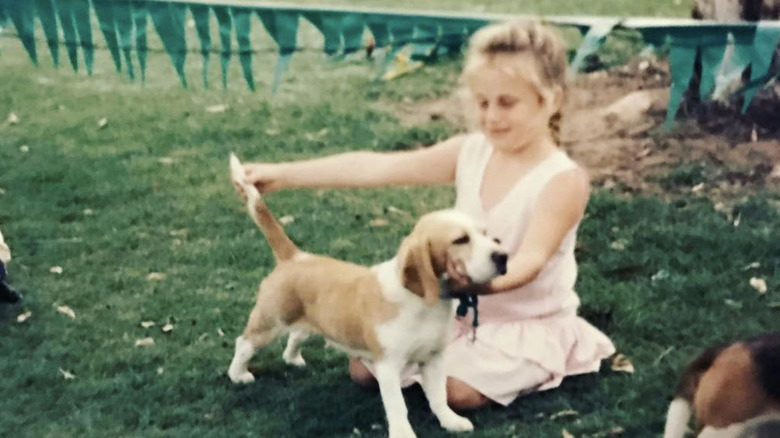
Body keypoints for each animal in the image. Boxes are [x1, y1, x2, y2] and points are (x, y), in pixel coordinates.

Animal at [227, 154, 506, 438]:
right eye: (461, 240)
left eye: (486, 235)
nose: (502, 256)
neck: (421, 303)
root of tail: (294, 256)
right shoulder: (388, 366)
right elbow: (398, 407)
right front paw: (403, 433)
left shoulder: (434, 358)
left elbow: (439, 396)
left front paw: (451, 421)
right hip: (271, 321)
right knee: (244, 343)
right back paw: (238, 374)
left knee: (296, 335)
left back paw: (292, 358)